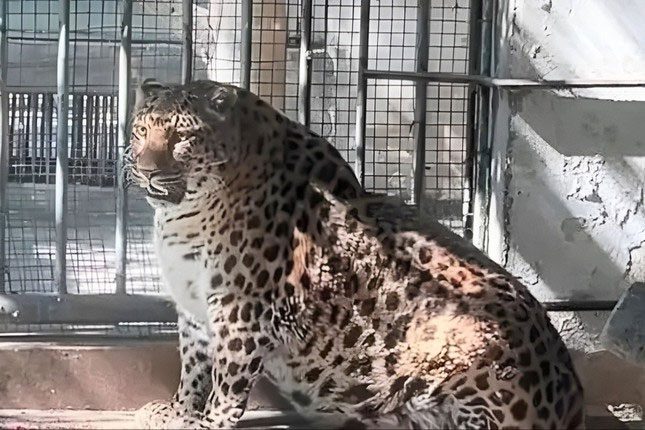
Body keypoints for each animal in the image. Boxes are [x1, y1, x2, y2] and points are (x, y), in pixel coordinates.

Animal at [124, 79, 584, 428]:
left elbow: (226, 385)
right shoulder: (194, 309)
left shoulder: (239, 314)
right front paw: (178, 412)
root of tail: (571, 398)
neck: (183, 217)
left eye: (182, 138)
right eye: (140, 132)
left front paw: (206, 422)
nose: (146, 170)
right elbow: (193, 366)